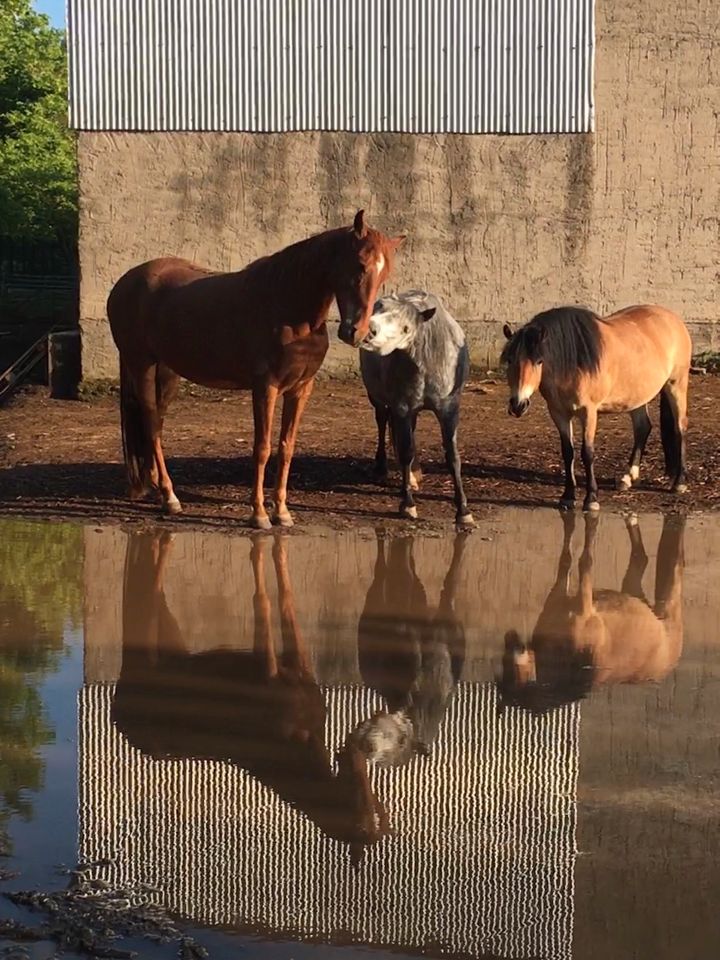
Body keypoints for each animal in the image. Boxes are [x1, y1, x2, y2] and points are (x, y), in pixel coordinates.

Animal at [109, 211, 408, 528]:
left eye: (385, 274)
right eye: (360, 264)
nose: (356, 332)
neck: (288, 309)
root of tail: (125, 283)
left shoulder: (300, 389)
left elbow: (286, 447)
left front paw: (283, 512)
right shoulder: (266, 387)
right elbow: (262, 448)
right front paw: (259, 514)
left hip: (166, 374)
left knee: (155, 425)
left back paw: (155, 487)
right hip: (142, 365)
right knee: (151, 424)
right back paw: (170, 498)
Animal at [498, 512, 684, 716]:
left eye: (512, 671)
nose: (508, 636)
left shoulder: (584, 604)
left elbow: (585, 560)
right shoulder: (557, 594)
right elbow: (566, 556)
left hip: (669, 605)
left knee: (675, 562)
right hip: (634, 592)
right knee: (641, 558)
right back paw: (630, 518)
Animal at [500, 306, 692, 510]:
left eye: (539, 361)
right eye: (510, 360)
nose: (518, 405)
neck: (572, 364)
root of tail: (673, 318)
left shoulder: (589, 413)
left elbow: (587, 453)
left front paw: (591, 498)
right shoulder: (559, 413)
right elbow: (568, 452)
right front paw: (568, 496)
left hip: (676, 385)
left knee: (680, 428)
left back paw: (679, 482)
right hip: (637, 396)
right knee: (643, 428)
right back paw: (627, 477)